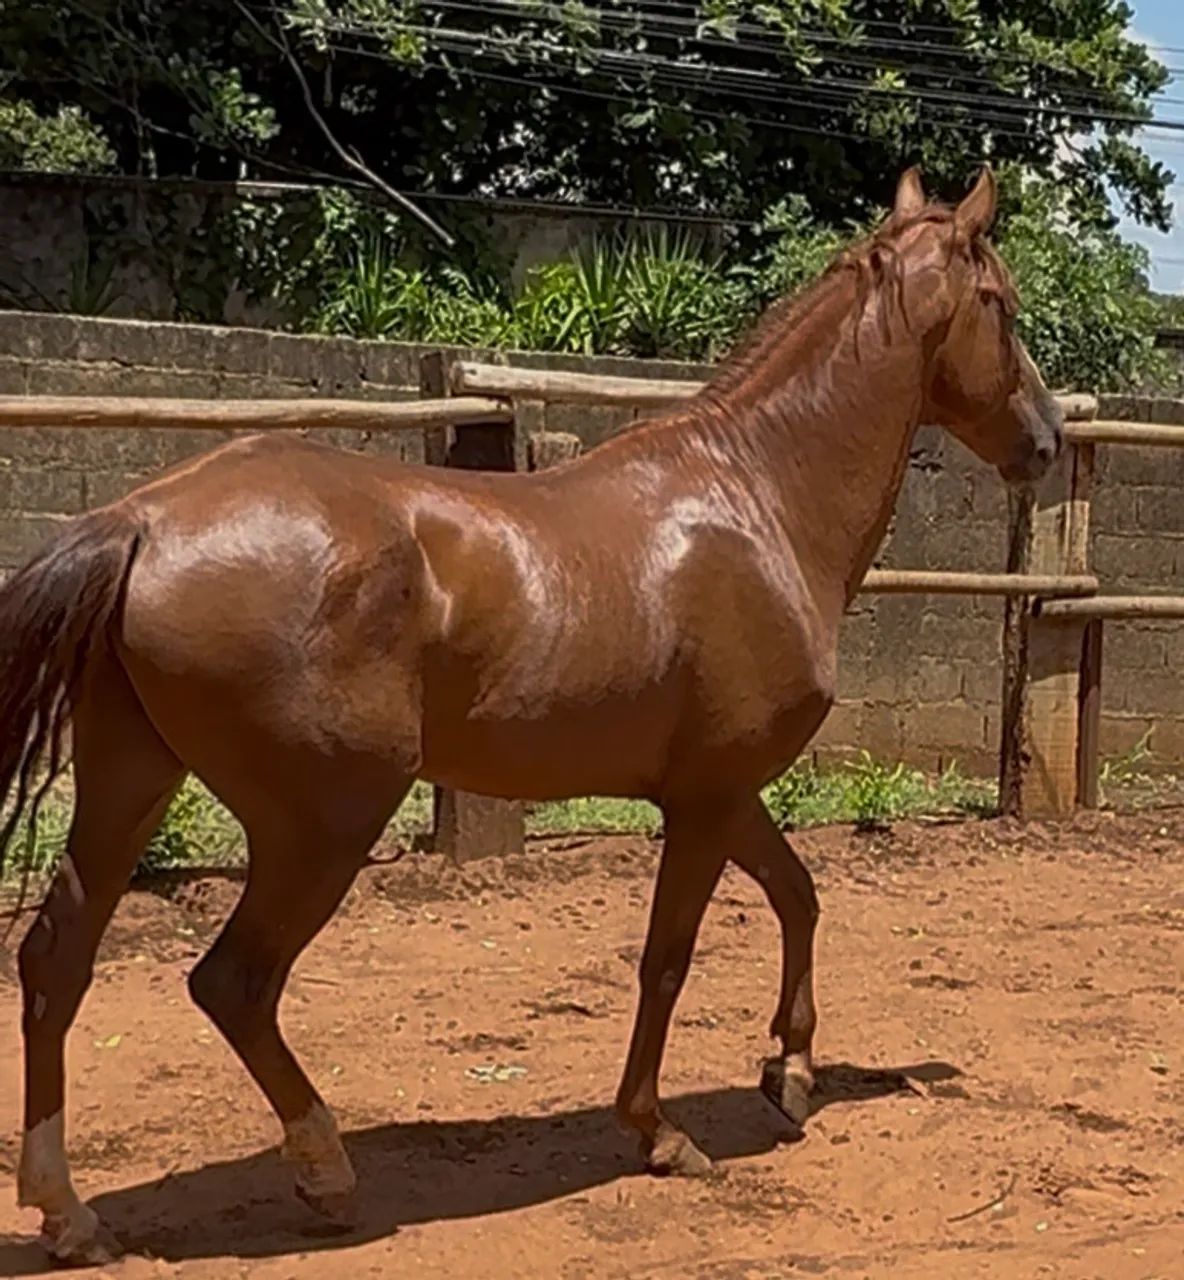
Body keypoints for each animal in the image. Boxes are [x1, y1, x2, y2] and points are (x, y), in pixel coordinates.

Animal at [1, 165, 1061, 1264]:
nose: (1047, 441)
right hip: (321, 824)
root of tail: (142, 519)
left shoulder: (721, 790)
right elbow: (668, 958)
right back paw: (326, 1174)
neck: (760, 499)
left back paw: (70, 1214)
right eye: (1001, 303)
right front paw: (659, 1132)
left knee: (53, 962)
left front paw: (791, 1073)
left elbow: (798, 896)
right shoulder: (705, 800)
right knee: (233, 983)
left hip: (131, 784)